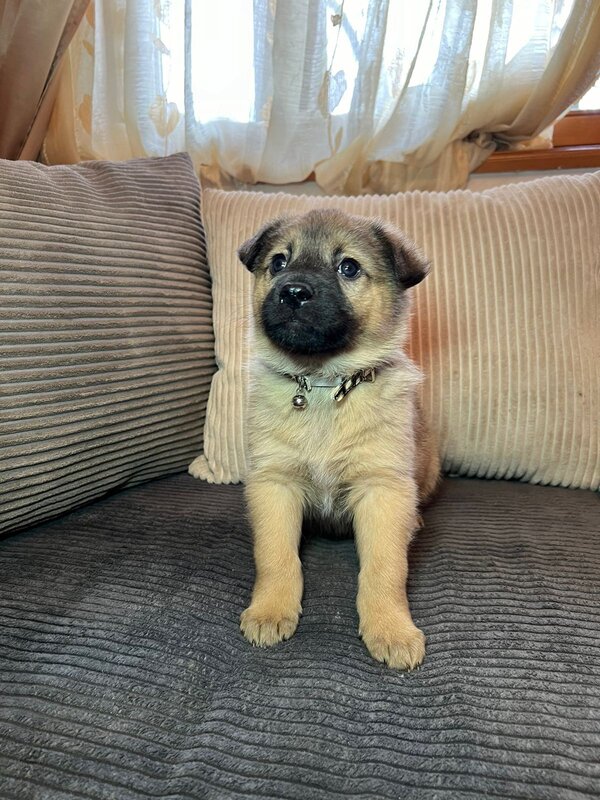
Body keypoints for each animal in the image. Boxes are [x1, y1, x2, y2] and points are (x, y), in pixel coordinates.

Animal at [238, 208, 440, 670]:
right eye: (278, 262)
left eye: (348, 267)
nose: (293, 292)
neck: (324, 385)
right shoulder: (274, 484)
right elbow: (276, 557)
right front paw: (270, 610)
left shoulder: (382, 490)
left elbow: (385, 568)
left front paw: (390, 628)